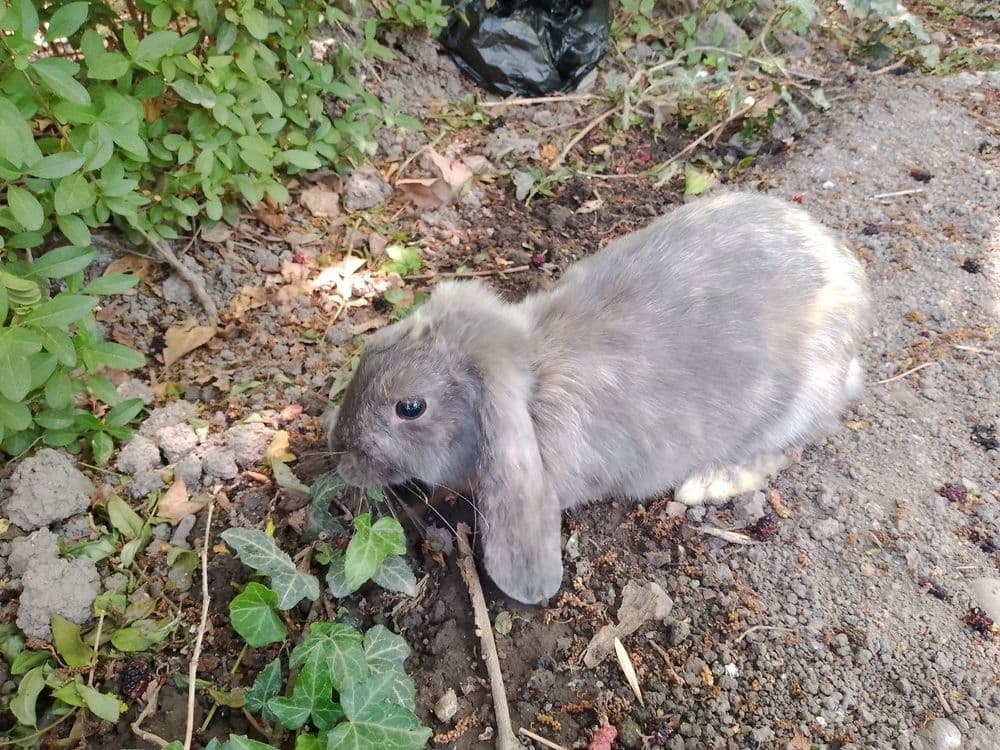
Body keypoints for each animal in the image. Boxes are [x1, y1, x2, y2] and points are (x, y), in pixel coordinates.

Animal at [326, 190, 871, 604]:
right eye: (372, 347)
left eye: (410, 407)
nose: (338, 449)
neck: (532, 385)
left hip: (798, 405)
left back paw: (707, 483)